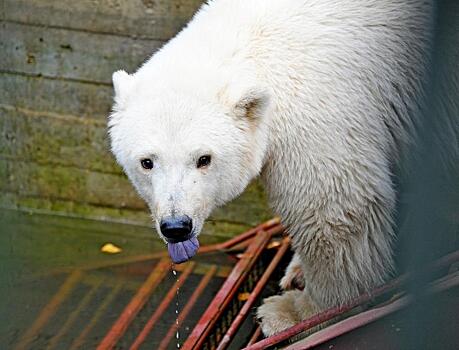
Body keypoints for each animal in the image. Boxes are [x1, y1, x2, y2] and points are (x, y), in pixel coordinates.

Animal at [108, 0, 434, 334]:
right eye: (147, 162)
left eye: (204, 159)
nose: (176, 227)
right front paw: (298, 274)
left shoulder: (318, 112)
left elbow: (333, 208)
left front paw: (297, 311)